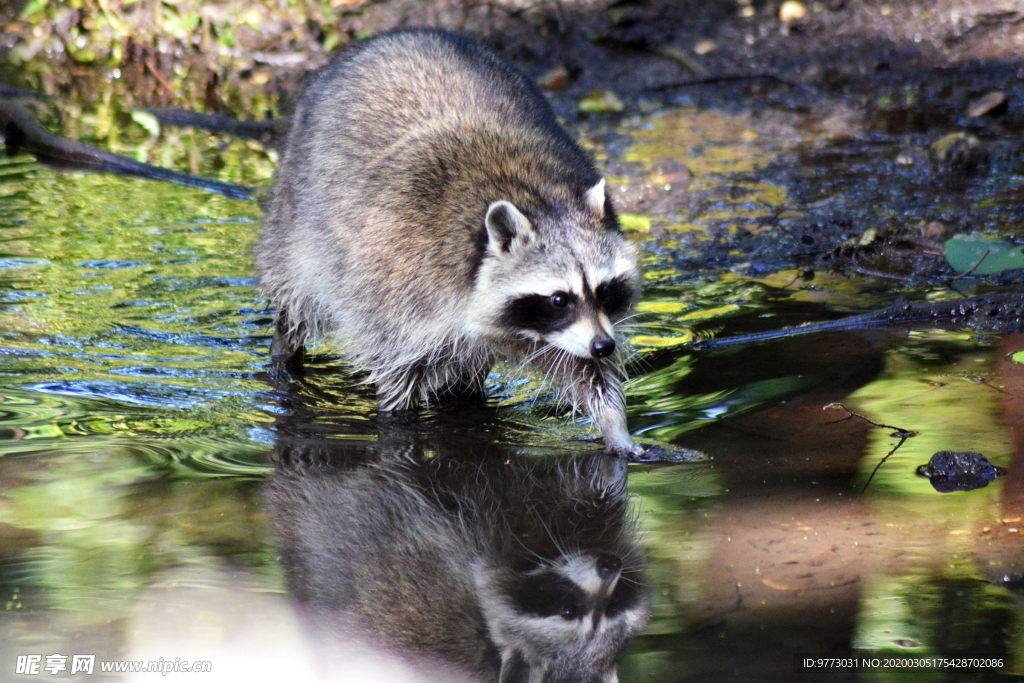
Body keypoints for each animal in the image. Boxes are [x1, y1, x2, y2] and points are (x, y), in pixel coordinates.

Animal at [256, 29, 638, 454]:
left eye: (605, 290)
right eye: (559, 299)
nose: (605, 345)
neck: (537, 199)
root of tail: (395, 36)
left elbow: (589, 374)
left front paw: (616, 429)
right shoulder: (398, 290)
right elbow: (396, 375)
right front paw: (399, 428)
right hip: (296, 221)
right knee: (296, 298)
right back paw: (284, 353)